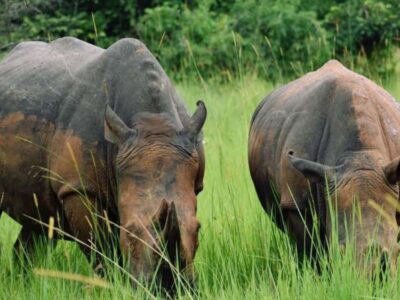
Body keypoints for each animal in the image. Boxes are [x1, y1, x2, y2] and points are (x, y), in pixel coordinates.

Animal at [0, 36, 206, 290]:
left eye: (198, 229)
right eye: (129, 232)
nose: (168, 288)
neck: (153, 124)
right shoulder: (78, 188)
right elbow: (102, 249)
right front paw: (115, 284)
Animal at [248, 60, 400, 272]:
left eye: (397, 250)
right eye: (341, 250)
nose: (374, 278)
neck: (358, 156)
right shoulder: (296, 204)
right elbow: (311, 252)